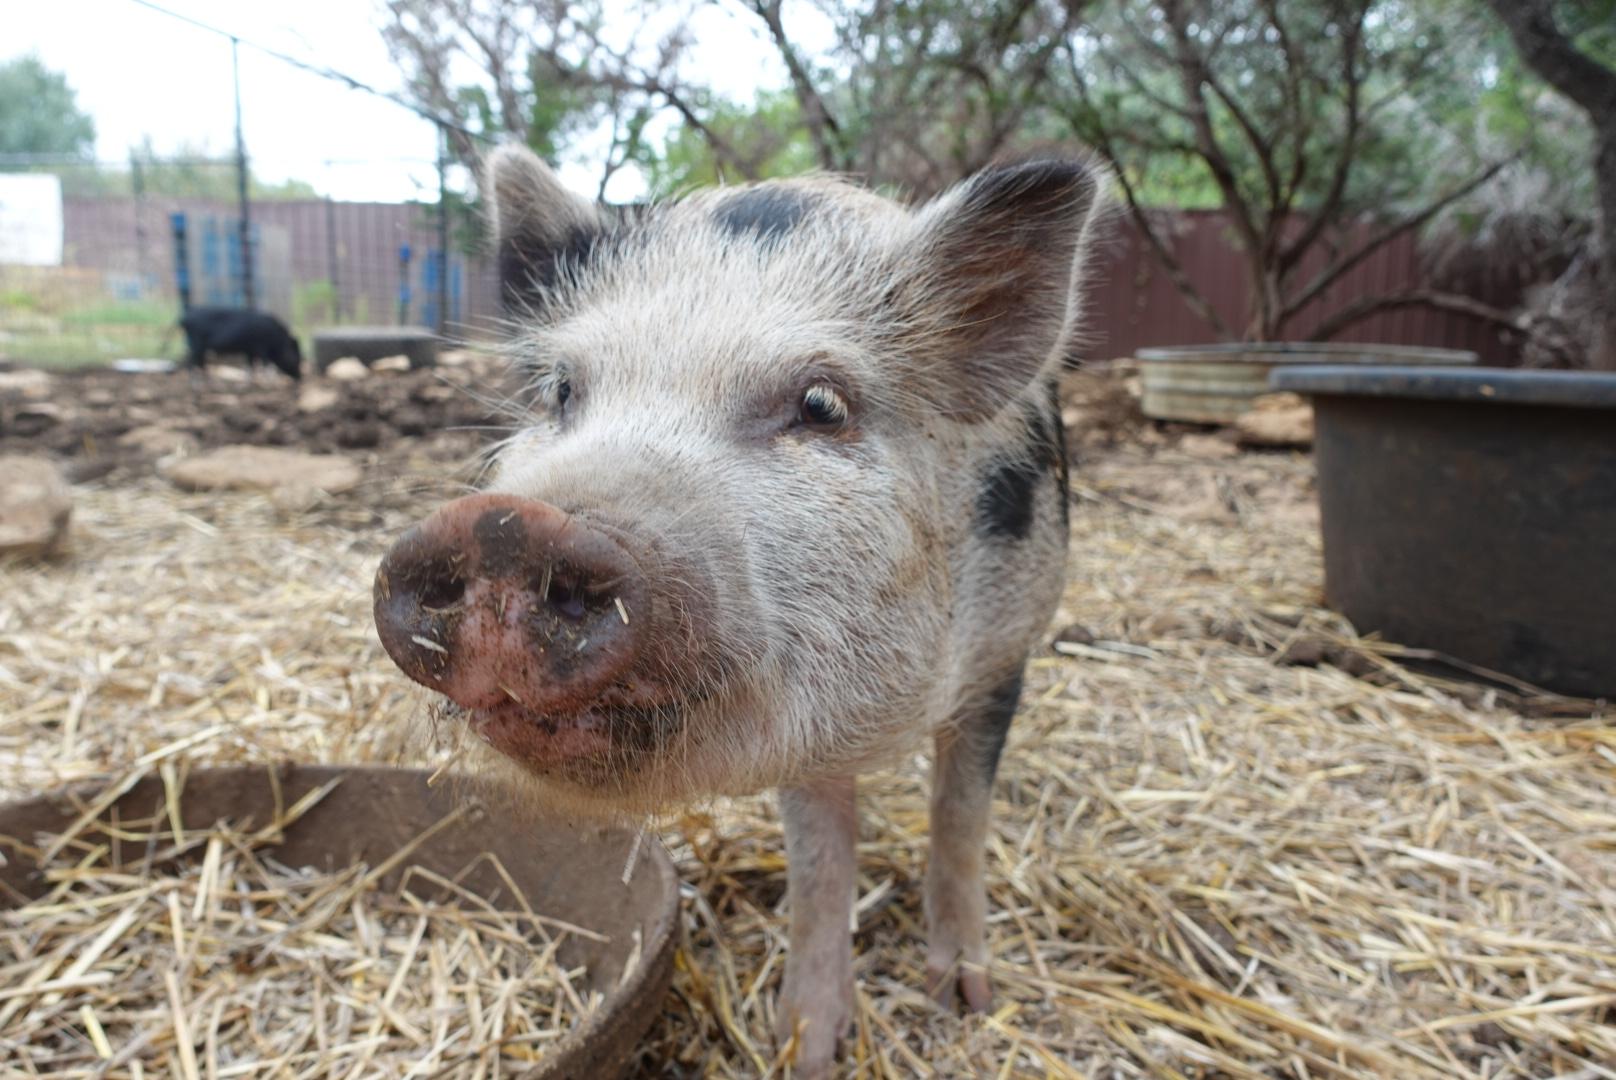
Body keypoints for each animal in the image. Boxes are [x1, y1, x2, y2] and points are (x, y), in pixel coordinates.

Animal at [372, 145, 1100, 1075]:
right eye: (564, 391)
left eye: (821, 406)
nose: (507, 527)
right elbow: (822, 858)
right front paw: (803, 1047)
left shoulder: (1007, 652)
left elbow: (960, 816)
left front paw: (967, 1004)